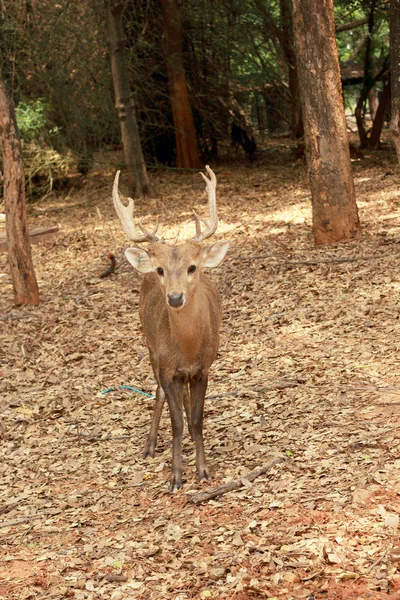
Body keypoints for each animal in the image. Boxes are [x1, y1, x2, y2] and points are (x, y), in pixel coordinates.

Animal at [111, 165, 230, 492]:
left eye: (192, 267)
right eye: (161, 270)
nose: (175, 297)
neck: (187, 349)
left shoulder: (203, 367)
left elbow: (197, 419)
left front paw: (203, 470)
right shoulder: (167, 367)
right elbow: (176, 421)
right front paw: (176, 476)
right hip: (150, 345)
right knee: (158, 393)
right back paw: (150, 446)